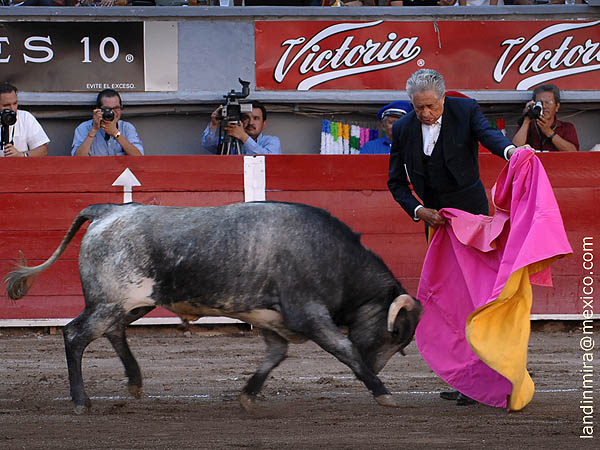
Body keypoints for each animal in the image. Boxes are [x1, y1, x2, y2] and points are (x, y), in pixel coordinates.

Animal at [3, 202, 422, 414]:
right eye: (395, 334)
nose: (376, 368)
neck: (333, 258)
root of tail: (106, 212)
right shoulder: (309, 314)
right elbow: (345, 349)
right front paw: (382, 391)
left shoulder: (273, 321)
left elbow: (275, 355)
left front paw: (248, 394)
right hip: (109, 301)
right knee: (75, 335)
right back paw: (81, 401)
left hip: (133, 303)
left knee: (113, 331)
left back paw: (135, 382)